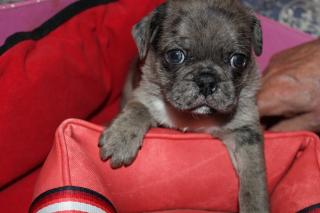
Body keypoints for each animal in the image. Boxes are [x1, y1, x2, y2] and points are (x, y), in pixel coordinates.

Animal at [99, 0, 268, 211]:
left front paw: (255, 205)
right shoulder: (144, 96)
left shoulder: (245, 131)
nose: (207, 81)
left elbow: (254, 176)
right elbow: (138, 109)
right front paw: (120, 139)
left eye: (238, 60)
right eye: (175, 56)